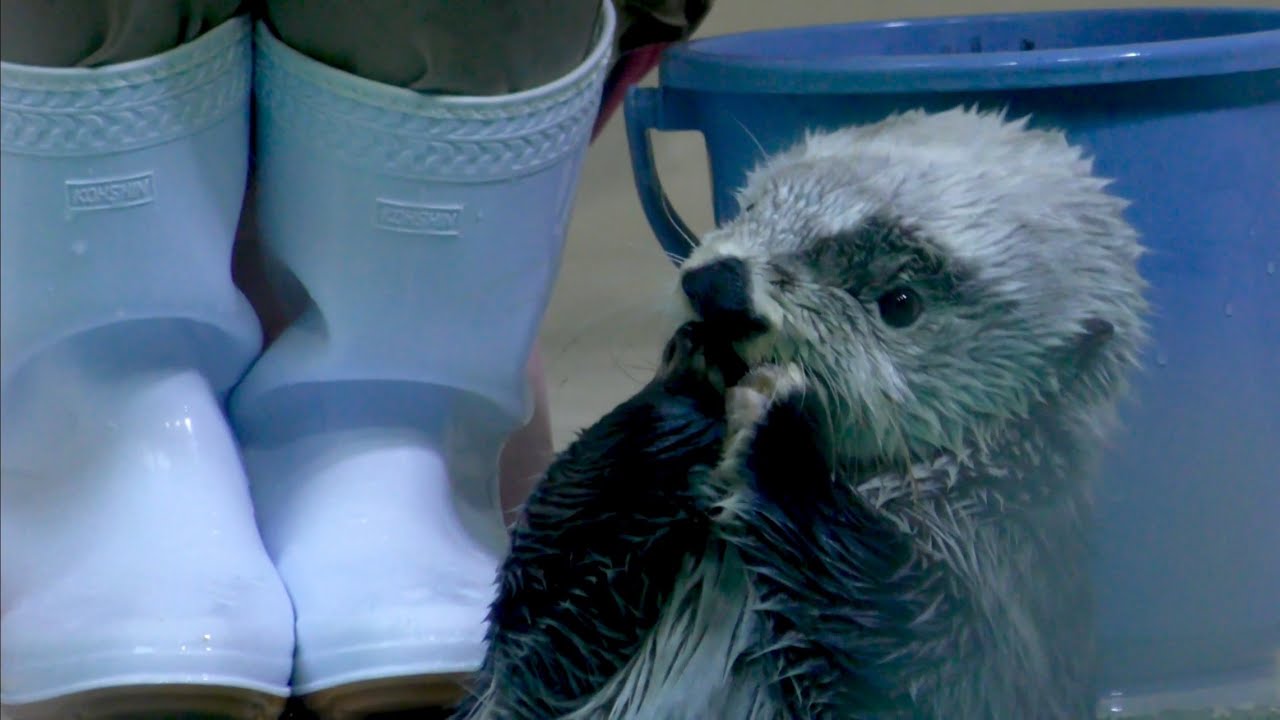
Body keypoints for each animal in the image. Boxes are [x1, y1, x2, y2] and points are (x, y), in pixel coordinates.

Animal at [456, 106, 1148, 719]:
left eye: (899, 302)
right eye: (755, 208)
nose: (720, 288)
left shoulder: (1012, 590)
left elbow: (919, 663)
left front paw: (776, 435)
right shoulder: (545, 655)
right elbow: (536, 627)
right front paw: (688, 379)